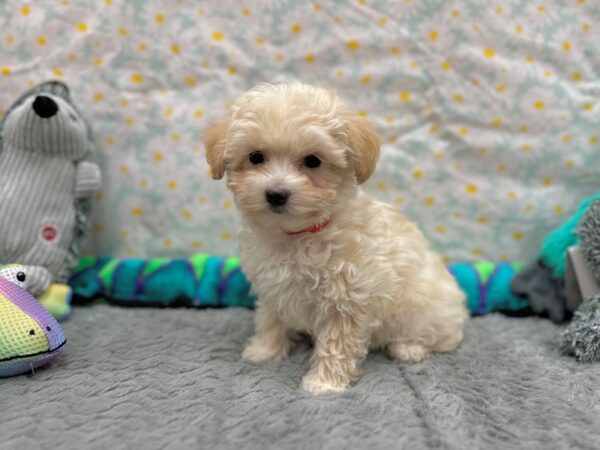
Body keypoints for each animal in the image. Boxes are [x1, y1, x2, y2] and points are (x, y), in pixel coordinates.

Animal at [204, 81, 466, 394]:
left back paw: (409, 348)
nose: (276, 194)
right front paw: (264, 351)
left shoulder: (346, 299)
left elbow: (336, 344)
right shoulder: (273, 288)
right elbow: (270, 320)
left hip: (428, 313)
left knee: (444, 339)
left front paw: (323, 383)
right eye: (255, 157)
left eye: (313, 161)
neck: (298, 235)